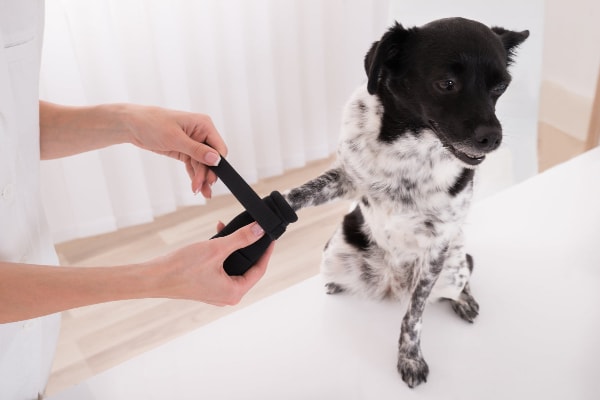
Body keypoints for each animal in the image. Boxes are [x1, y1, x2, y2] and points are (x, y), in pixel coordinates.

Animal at [284, 18, 528, 388]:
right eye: (446, 83)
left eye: (500, 86)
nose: (492, 138)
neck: (410, 147)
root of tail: (391, 285)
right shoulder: (348, 179)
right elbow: (298, 195)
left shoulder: (436, 246)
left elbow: (414, 316)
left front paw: (410, 358)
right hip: (334, 255)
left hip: (453, 266)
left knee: (463, 276)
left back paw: (465, 300)